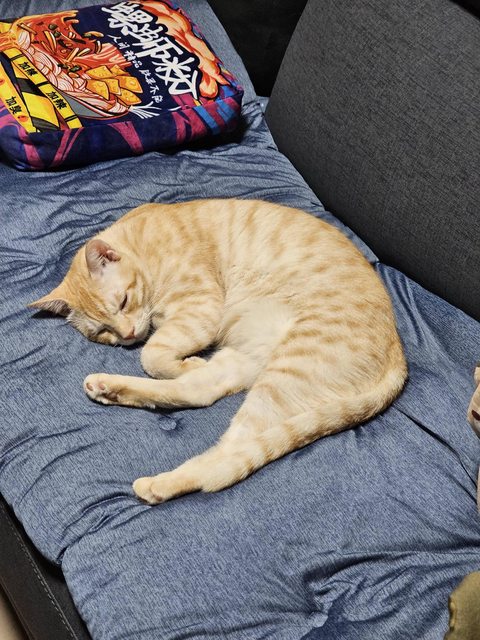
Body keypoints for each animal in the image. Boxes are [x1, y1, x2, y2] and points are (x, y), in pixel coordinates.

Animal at [31, 199, 408, 504]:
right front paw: (185, 361)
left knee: (228, 459)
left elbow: (151, 355)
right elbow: (155, 358)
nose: (127, 335)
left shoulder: (200, 307)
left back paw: (160, 484)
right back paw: (108, 388)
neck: (144, 245)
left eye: (123, 301)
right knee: (199, 395)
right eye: (102, 332)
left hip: (285, 372)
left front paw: (186, 361)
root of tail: (399, 354)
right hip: (251, 362)